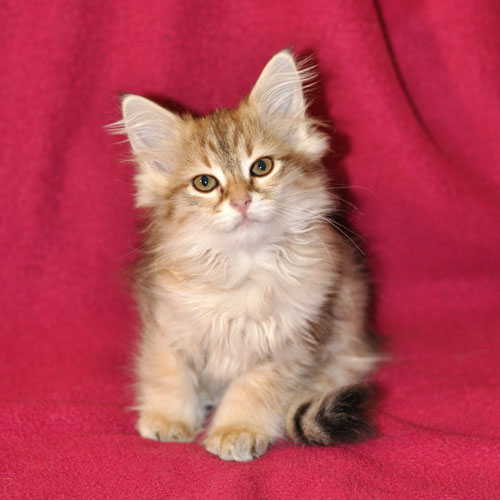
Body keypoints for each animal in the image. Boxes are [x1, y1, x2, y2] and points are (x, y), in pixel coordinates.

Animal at [114, 49, 378, 460]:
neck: (244, 265)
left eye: (261, 166)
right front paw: (169, 419)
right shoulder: (165, 323)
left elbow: (253, 389)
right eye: (205, 182)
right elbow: (168, 372)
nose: (241, 201)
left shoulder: (292, 342)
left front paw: (235, 429)